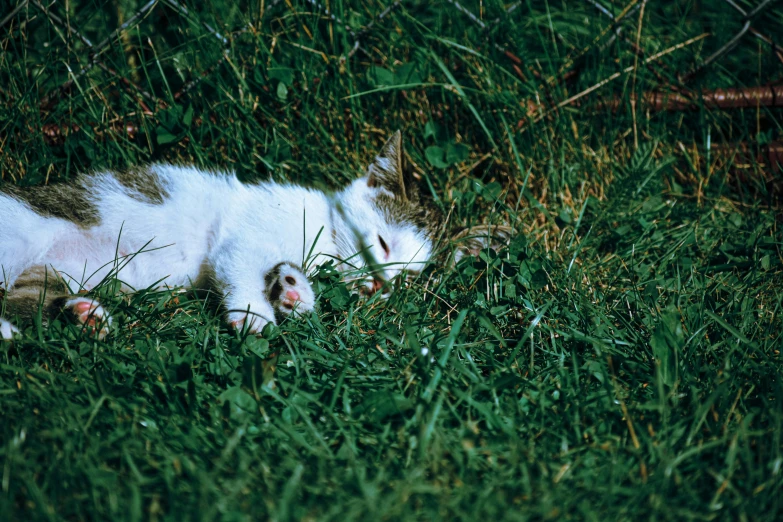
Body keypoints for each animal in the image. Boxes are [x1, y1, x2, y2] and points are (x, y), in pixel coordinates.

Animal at [0, 131, 440, 338]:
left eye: (405, 278)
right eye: (382, 245)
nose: (381, 283)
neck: (324, 237)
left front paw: (292, 290)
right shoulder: (242, 234)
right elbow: (237, 262)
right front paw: (254, 313)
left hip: (50, 273)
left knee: (24, 298)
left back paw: (82, 316)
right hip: (18, 238)